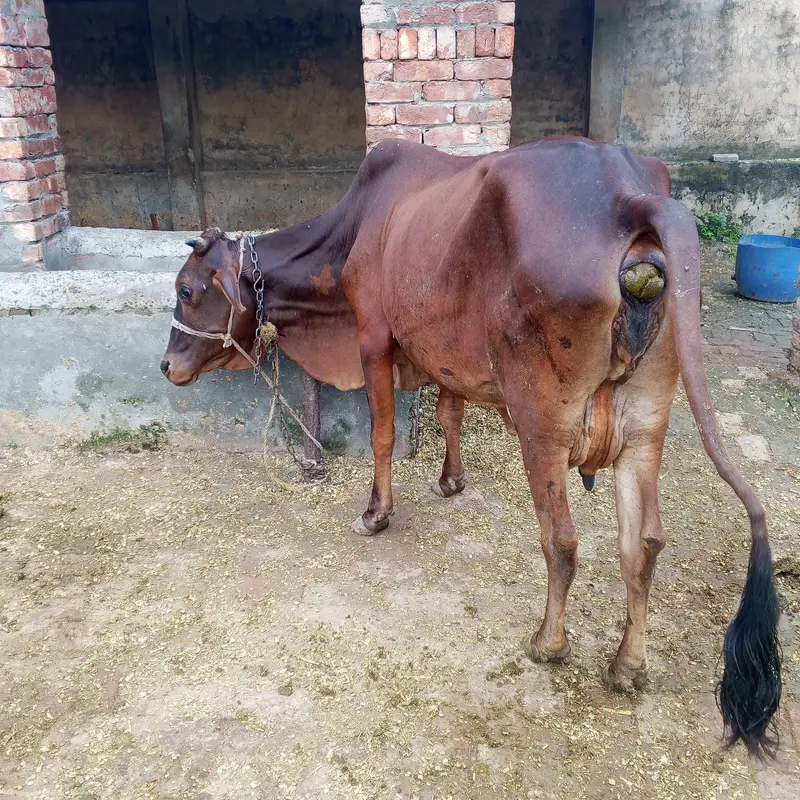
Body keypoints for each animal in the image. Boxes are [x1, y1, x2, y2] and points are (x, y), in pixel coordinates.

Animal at [160, 136, 781, 758]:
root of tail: (628, 195)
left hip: (542, 423)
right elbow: (449, 412)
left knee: (561, 540)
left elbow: (383, 434)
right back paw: (627, 665)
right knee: (643, 544)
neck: (352, 233)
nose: (167, 366)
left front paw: (376, 512)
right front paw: (450, 480)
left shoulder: (373, 338)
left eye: (186, 291)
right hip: (646, 429)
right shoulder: (445, 353)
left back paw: (548, 642)